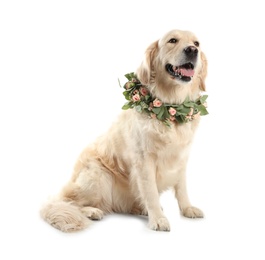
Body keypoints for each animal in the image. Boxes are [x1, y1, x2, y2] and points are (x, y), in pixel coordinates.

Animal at [40, 29, 207, 233]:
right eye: (172, 40)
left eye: (196, 43)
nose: (192, 50)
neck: (171, 107)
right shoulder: (144, 160)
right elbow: (150, 192)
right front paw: (158, 219)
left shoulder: (181, 156)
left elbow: (182, 188)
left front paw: (187, 208)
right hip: (98, 175)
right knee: (69, 201)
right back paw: (92, 211)